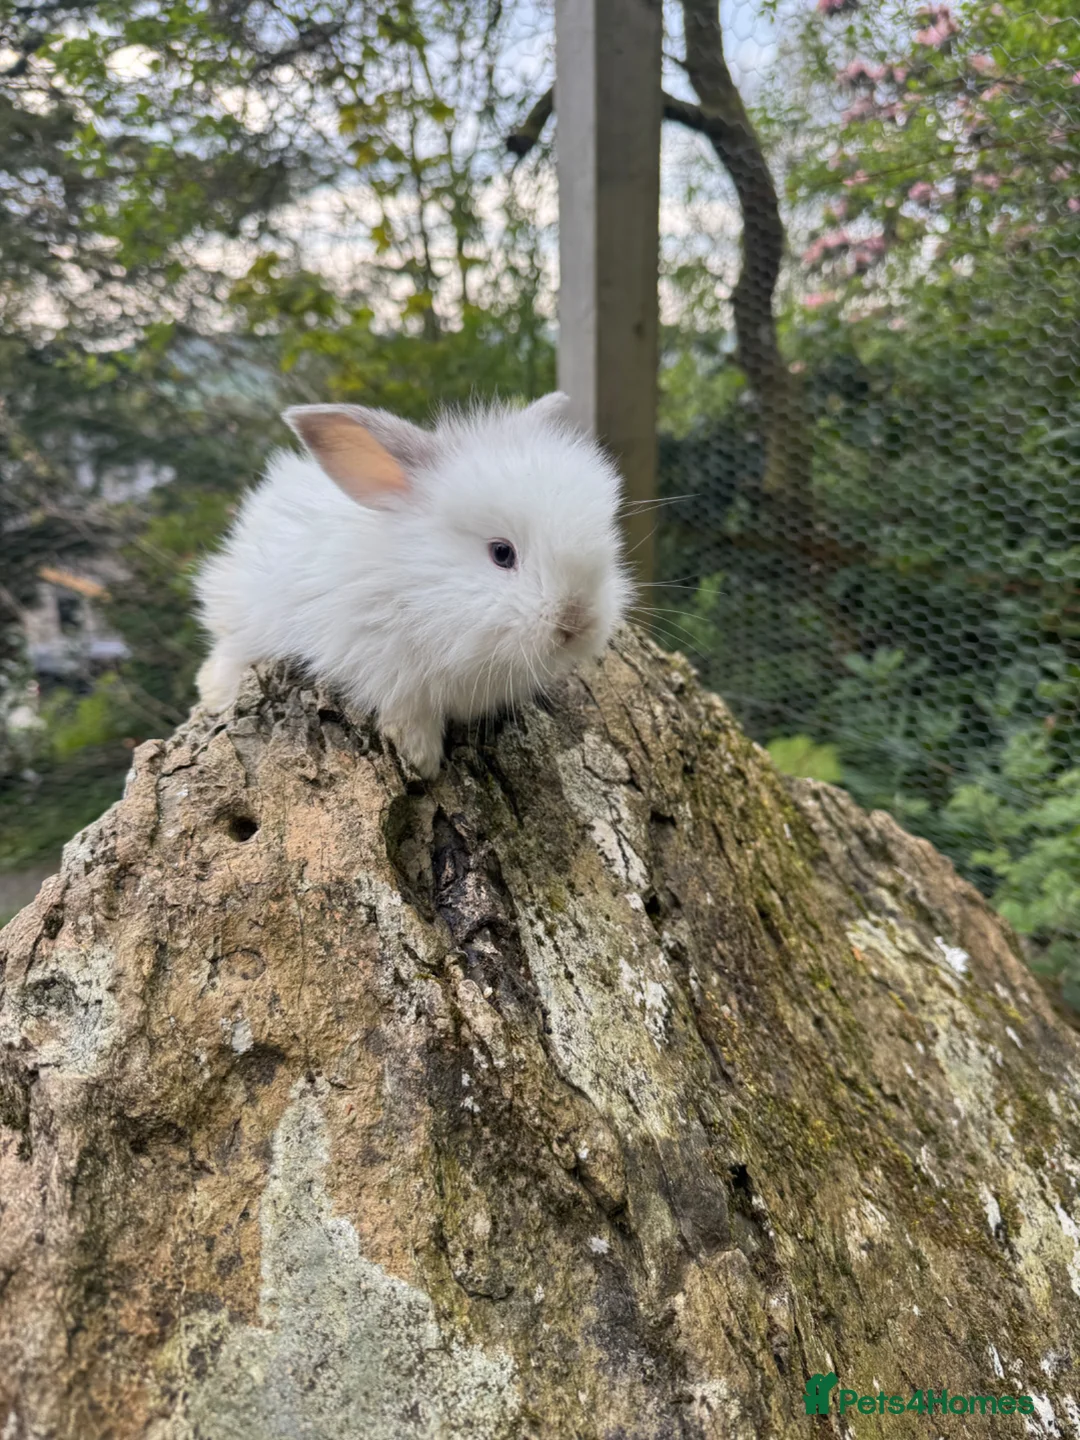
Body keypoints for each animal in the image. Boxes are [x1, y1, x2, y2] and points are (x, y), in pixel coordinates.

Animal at [193, 393, 633, 778]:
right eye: (501, 553)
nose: (577, 622)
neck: (422, 583)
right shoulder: (383, 665)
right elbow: (409, 712)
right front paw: (423, 761)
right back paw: (215, 693)